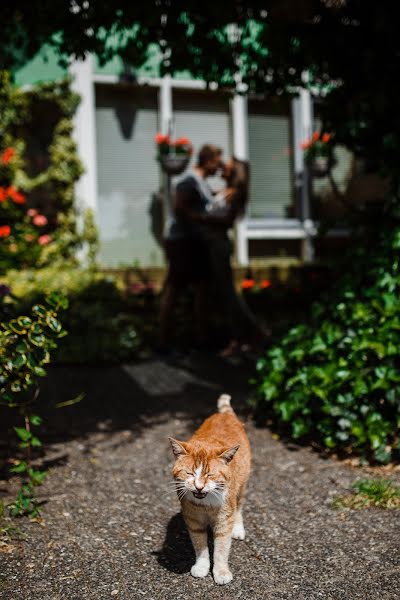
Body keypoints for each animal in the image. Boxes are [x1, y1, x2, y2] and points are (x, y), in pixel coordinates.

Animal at [168, 394, 250, 584]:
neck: (206, 505)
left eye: (210, 475)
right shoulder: (193, 520)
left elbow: (221, 549)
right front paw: (201, 567)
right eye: (189, 473)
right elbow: (200, 546)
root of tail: (224, 415)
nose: (199, 486)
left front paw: (220, 572)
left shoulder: (224, 521)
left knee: (239, 507)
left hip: (242, 487)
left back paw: (238, 529)